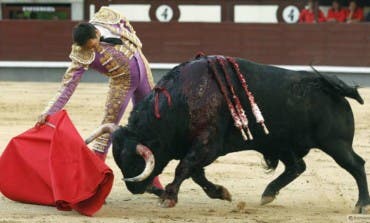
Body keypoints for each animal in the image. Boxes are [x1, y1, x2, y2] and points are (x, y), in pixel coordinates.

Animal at [89, 55, 370, 213]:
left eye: (133, 161)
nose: (135, 188)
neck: (179, 101)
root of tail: (330, 87)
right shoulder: (199, 148)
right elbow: (196, 174)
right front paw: (221, 193)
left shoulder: (207, 144)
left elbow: (184, 168)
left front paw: (169, 197)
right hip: (281, 143)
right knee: (296, 166)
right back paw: (268, 194)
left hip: (336, 143)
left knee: (356, 164)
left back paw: (362, 204)